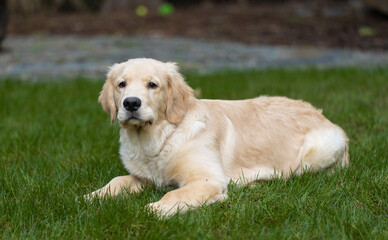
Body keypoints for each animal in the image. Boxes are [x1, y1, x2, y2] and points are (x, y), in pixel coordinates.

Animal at [86, 57, 350, 216]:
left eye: (153, 84)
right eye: (121, 84)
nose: (131, 103)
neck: (158, 139)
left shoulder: (208, 180)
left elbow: (175, 193)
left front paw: (154, 209)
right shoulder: (145, 177)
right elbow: (118, 180)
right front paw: (92, 197)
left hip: (320, 149)